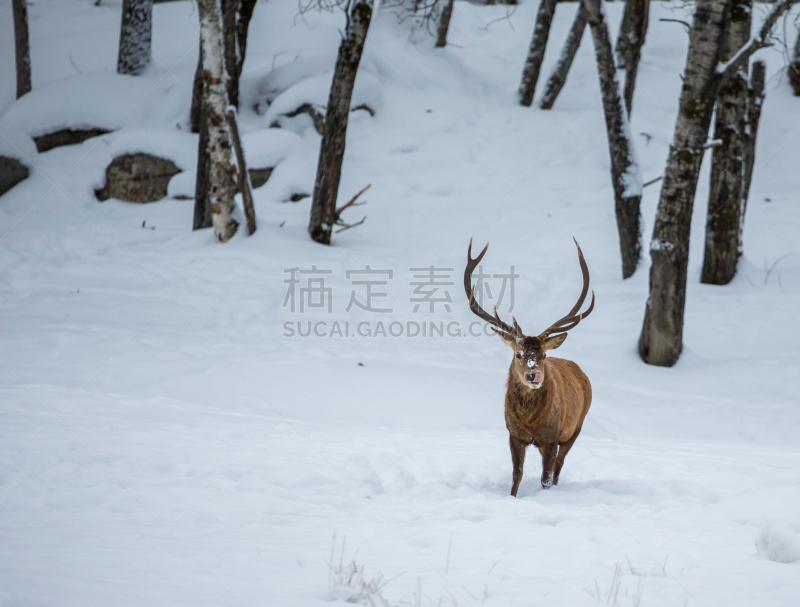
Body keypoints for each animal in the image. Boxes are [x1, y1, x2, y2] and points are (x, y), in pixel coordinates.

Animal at [462, 235, 592, 496]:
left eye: (543, 354)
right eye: (518, 354)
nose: (534, 375)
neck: (530, 421)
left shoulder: (551, 437)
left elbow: (545, 478)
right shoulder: (514, 434)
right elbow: (517, 475)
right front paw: (512, 497)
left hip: (576, 427)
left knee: (558, 468)